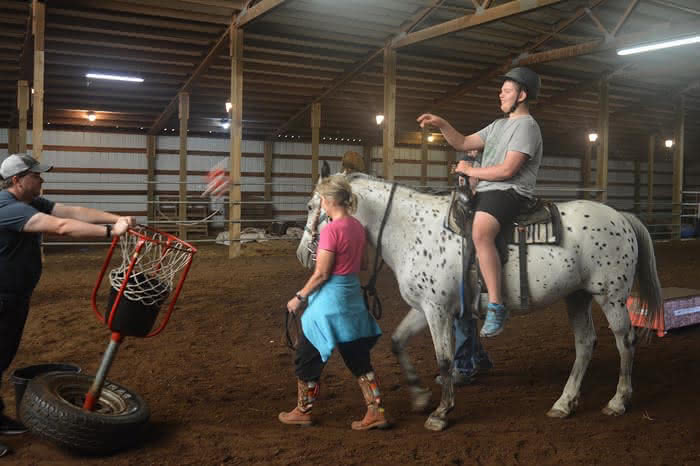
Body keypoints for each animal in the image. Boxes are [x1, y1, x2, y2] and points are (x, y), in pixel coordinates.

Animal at [296, 169, 660, 432]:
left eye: (313, 207)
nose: (302, 254)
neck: (412, 230)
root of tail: (620, 216)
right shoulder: (423, 307)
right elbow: (398, 342)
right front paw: (420, 397)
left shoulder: (437, 311)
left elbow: (444, 359)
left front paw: (441, 412)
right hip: (577, 297)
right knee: (585, 343)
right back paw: (564, 403)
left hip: (610, 296)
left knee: (625, 341)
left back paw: (618, 401)